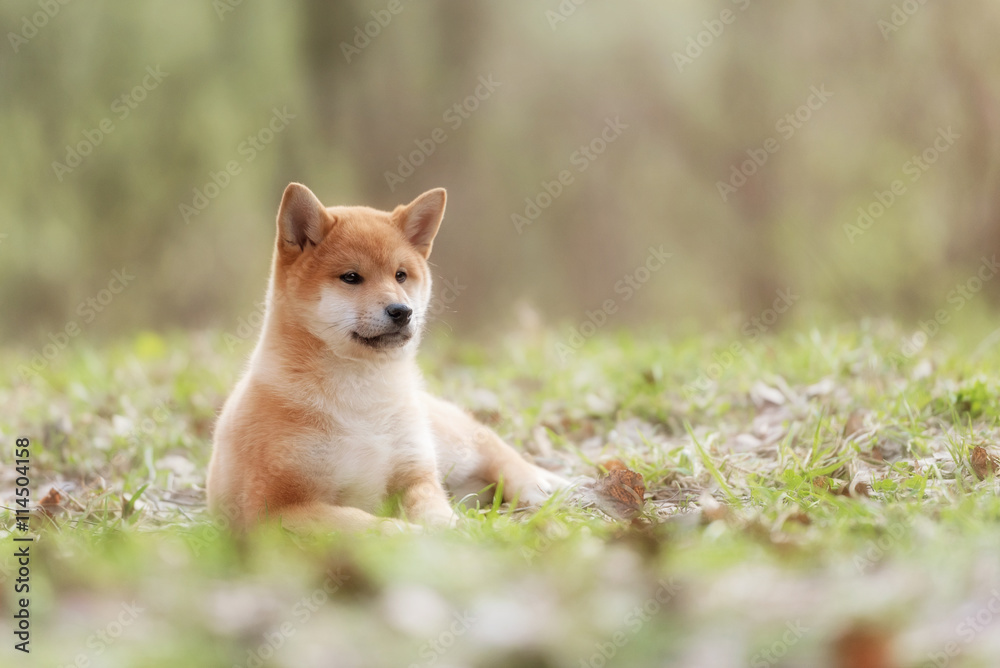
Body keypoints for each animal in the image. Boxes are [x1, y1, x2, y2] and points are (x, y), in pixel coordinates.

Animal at [207, 183, 568, 532]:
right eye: (351, 277)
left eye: (400, 275)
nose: (402, 311)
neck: (364, 395)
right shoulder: (277, 506)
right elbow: (369, 525)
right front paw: (419, 537)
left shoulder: (417, 477)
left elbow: (435, 512)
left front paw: (452, 532)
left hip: (449, 444)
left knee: (497, 451)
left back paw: (541, 486)